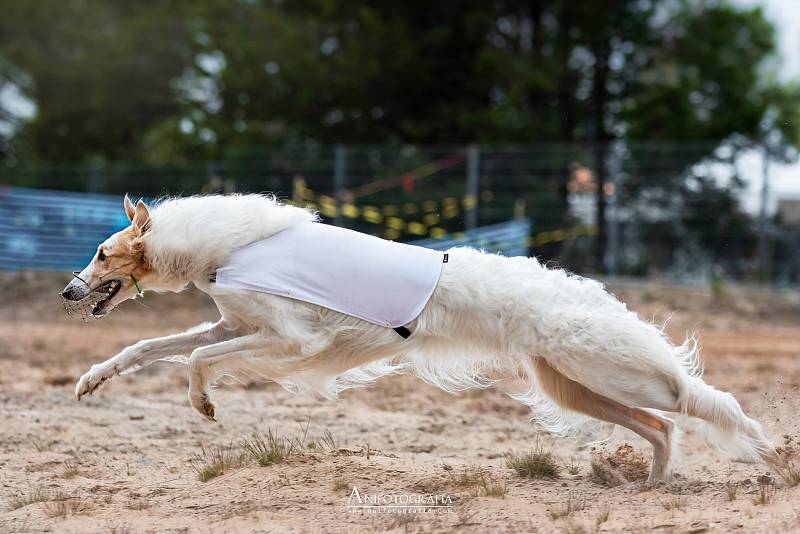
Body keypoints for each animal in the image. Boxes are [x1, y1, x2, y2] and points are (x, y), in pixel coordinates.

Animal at [61, 194, 780, 486]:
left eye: (100, 254)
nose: (68, 292)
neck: (226, 244)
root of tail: (586, 293)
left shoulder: (291, 342)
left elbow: (196, 359)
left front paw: (203, 403)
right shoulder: (235, 324)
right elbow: (150, 349)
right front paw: (90, 380)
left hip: (610, 370)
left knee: (698, 399)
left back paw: (765, 451)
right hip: (572, 386)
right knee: (662, 425)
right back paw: (653, 481)